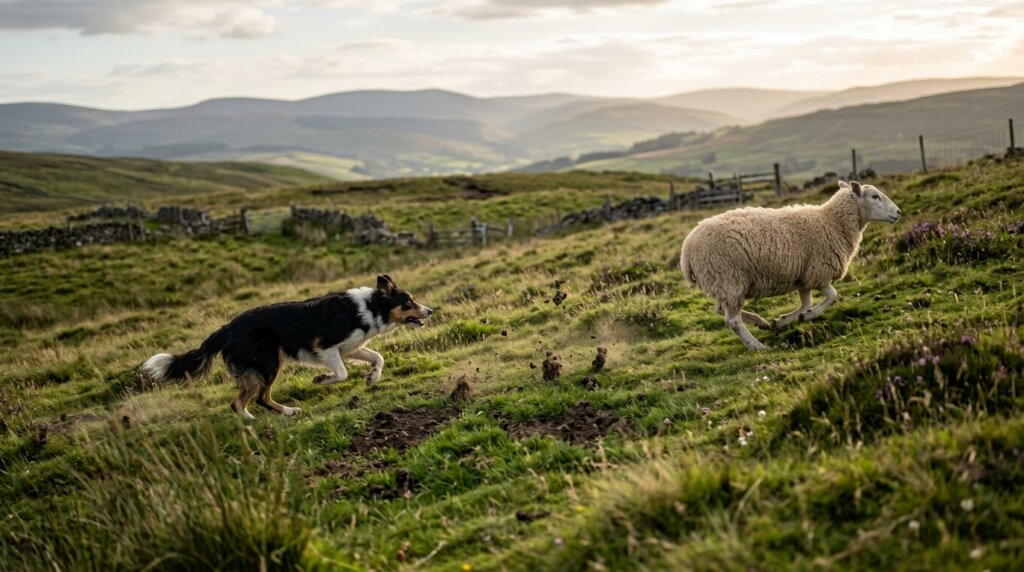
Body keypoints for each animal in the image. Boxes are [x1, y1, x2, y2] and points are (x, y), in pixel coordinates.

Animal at [679, 180, 901, 350]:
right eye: (875, 196)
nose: (898, 212)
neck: (831, 222)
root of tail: (686, 251)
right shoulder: (819, 273)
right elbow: (832, 296)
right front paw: (808, 316)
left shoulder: (804, 277)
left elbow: (806, 303)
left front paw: (784, 321)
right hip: (729, 278)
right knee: (732, 320)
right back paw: (757, 346)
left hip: (721, 283)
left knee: (720, 310)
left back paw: (761, 322)